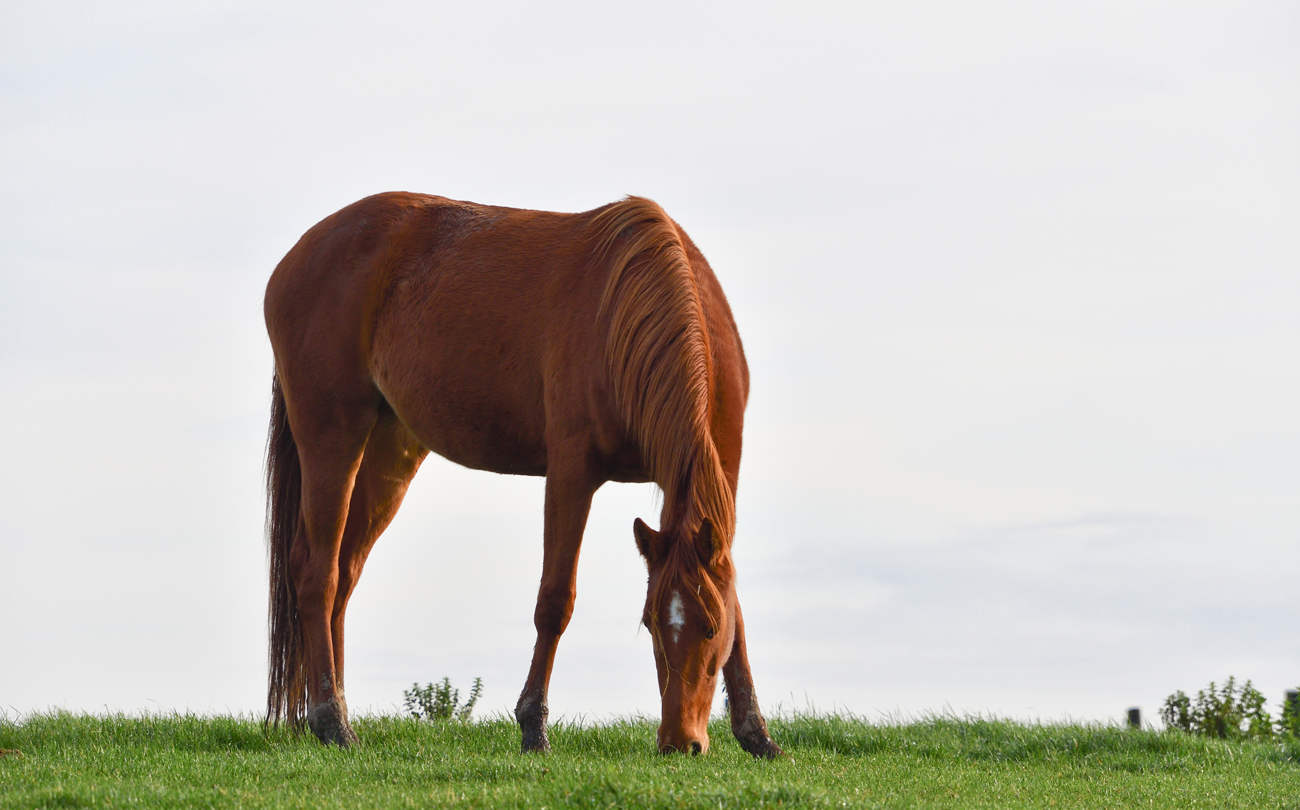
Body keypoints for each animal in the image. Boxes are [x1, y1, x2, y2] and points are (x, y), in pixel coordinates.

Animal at [258, 191, 774, 759]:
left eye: (708, 628)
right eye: (650, 623)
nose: (680, 742)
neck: (634, 309)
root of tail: (296, 257)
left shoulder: (719, 480)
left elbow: (737, 604)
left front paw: (755, 731)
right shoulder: (572, 474)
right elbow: (555, 600)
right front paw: (533, 725)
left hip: (387, 451)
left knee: (345, 573)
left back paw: (336, 712)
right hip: (332, 437)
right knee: (318, 573)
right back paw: (331, 720)